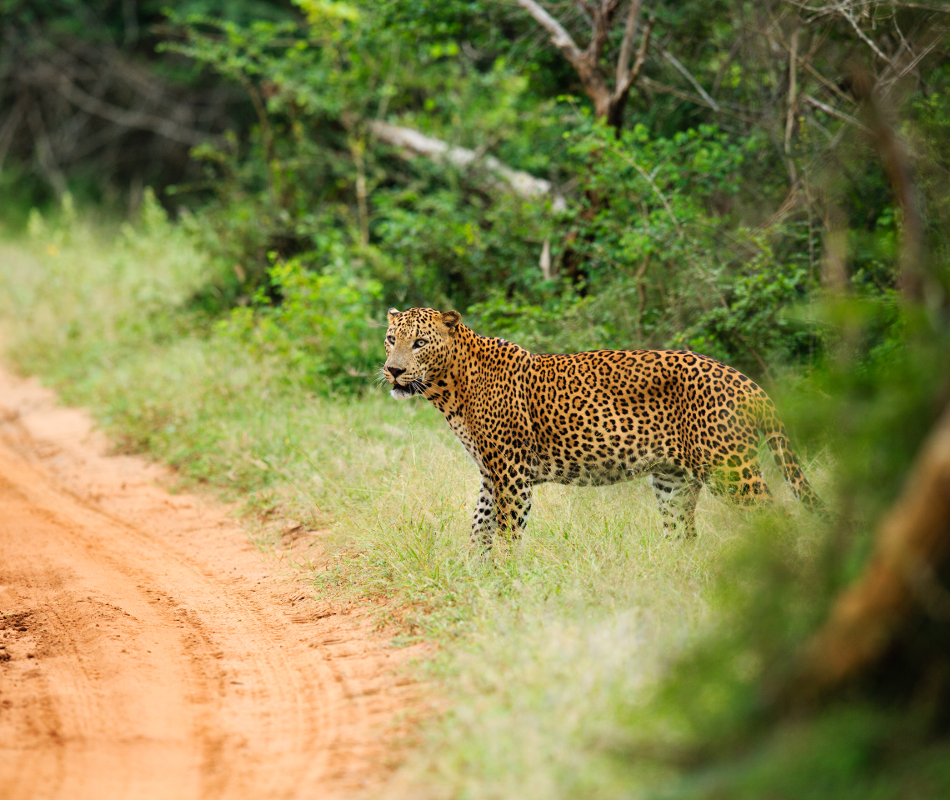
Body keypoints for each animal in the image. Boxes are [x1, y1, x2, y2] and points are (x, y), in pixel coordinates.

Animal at [382, 306, 824, 552]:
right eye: (390, 339)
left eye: (419, 342)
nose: (393, 370)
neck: (450, 387)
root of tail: (747, 382)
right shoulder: (491, 474)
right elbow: (479, 526)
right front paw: (475, 576)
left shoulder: (511, 471)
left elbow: (507, 531)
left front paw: (507, 579)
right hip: (673, 480)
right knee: (683, 535)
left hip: (729, 469)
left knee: (776, 517)